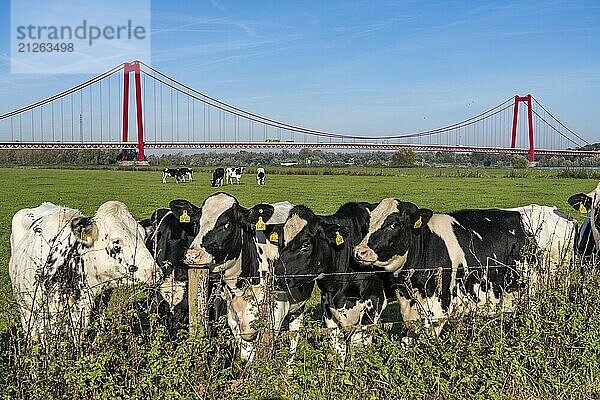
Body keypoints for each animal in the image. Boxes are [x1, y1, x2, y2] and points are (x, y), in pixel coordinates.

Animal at [186, 194, 312, 362]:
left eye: (226, 225)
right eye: (195, 223)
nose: (192, 255)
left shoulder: (277, 310)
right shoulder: (233, 315)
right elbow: (246, 355)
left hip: (298, 304)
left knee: (294, 334)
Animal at [272, 202, 390, 360]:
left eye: (306, 244)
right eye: (281, 242)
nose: (277, 274)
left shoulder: (375, 303)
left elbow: (359, 349)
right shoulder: (328, 306)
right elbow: (339, 350)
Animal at [352, 198, 576, 342]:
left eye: (393, 224)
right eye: (368, 223)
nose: (359, 251)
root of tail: (563, 216)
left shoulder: (437, 308)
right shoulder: (410, 309)